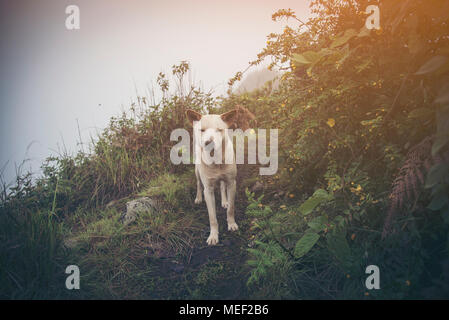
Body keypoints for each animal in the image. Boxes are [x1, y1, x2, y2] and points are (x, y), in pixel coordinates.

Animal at [186, 109, 240, 246]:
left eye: (219, 130)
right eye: (202, 130)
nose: (208, 142)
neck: (216, 160)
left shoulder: (232, 183)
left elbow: (231, 209)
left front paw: (231, 224)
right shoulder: (208, 190)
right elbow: (212, 217)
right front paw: (213, 235)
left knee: (222, 186)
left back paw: (224, 201)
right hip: (197, 171)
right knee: (198, 184)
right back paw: (198, 198)